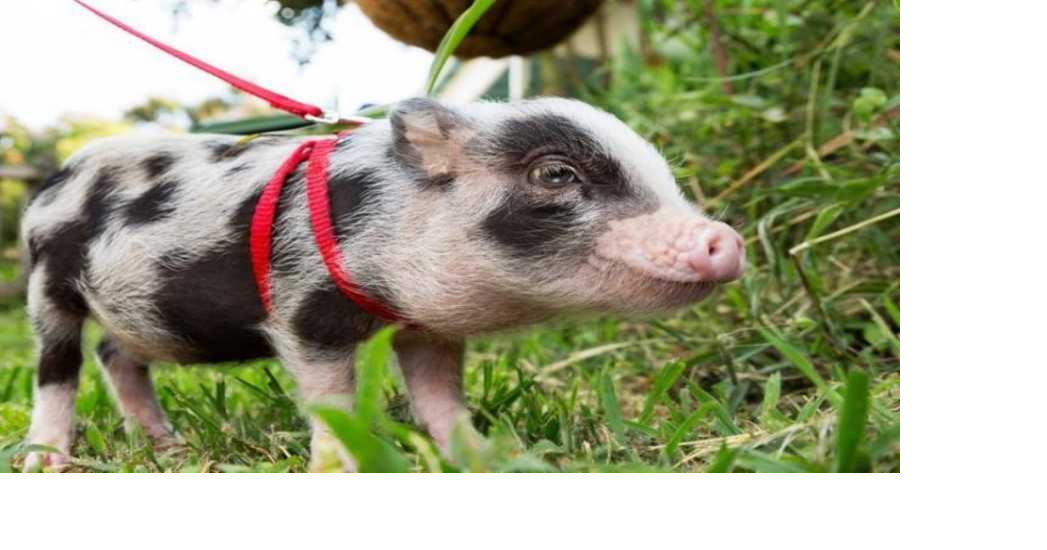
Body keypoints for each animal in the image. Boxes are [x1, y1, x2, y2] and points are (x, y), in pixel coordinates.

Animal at [19, 98, 745, 472]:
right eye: (555, 175)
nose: (726, 240)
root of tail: (53, 182)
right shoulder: (304, 309)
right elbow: (331, 398)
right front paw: (338, 463)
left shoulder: (428, 328)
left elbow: (440, 398)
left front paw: (484, 454)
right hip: (48, 285)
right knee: (58, 368)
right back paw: (45, 458)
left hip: (142, 317)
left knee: (116, 355)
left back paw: (166, 446)